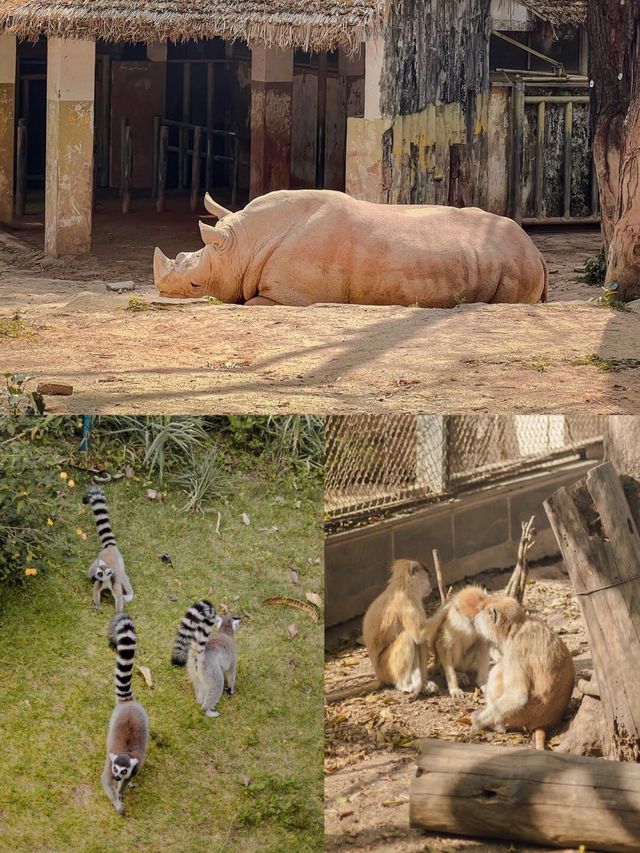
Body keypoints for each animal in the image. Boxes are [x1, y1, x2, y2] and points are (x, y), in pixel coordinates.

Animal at [470, 596, 576, 748]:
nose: (475, 619)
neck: (517, 627)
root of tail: (546, 721)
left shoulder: (517, 648)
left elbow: (517, 696)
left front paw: (477, 720)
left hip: (521, 715)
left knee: (500, 670)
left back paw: (498, 727)